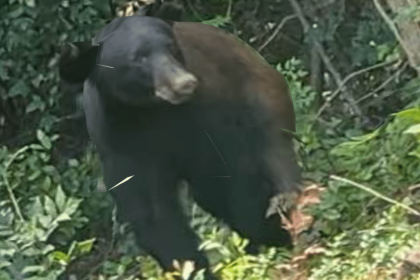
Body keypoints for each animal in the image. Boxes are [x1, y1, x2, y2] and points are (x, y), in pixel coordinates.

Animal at [60, 14, 302, 280]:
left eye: (172, 47)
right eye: (138, 58)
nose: (184, 83)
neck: (147, 112)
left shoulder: (208, 119)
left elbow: (233, 180)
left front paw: (272, 231)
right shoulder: (119, 144)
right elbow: (153, 214)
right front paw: (191, 268)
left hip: (258, 92)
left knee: (272, 153)